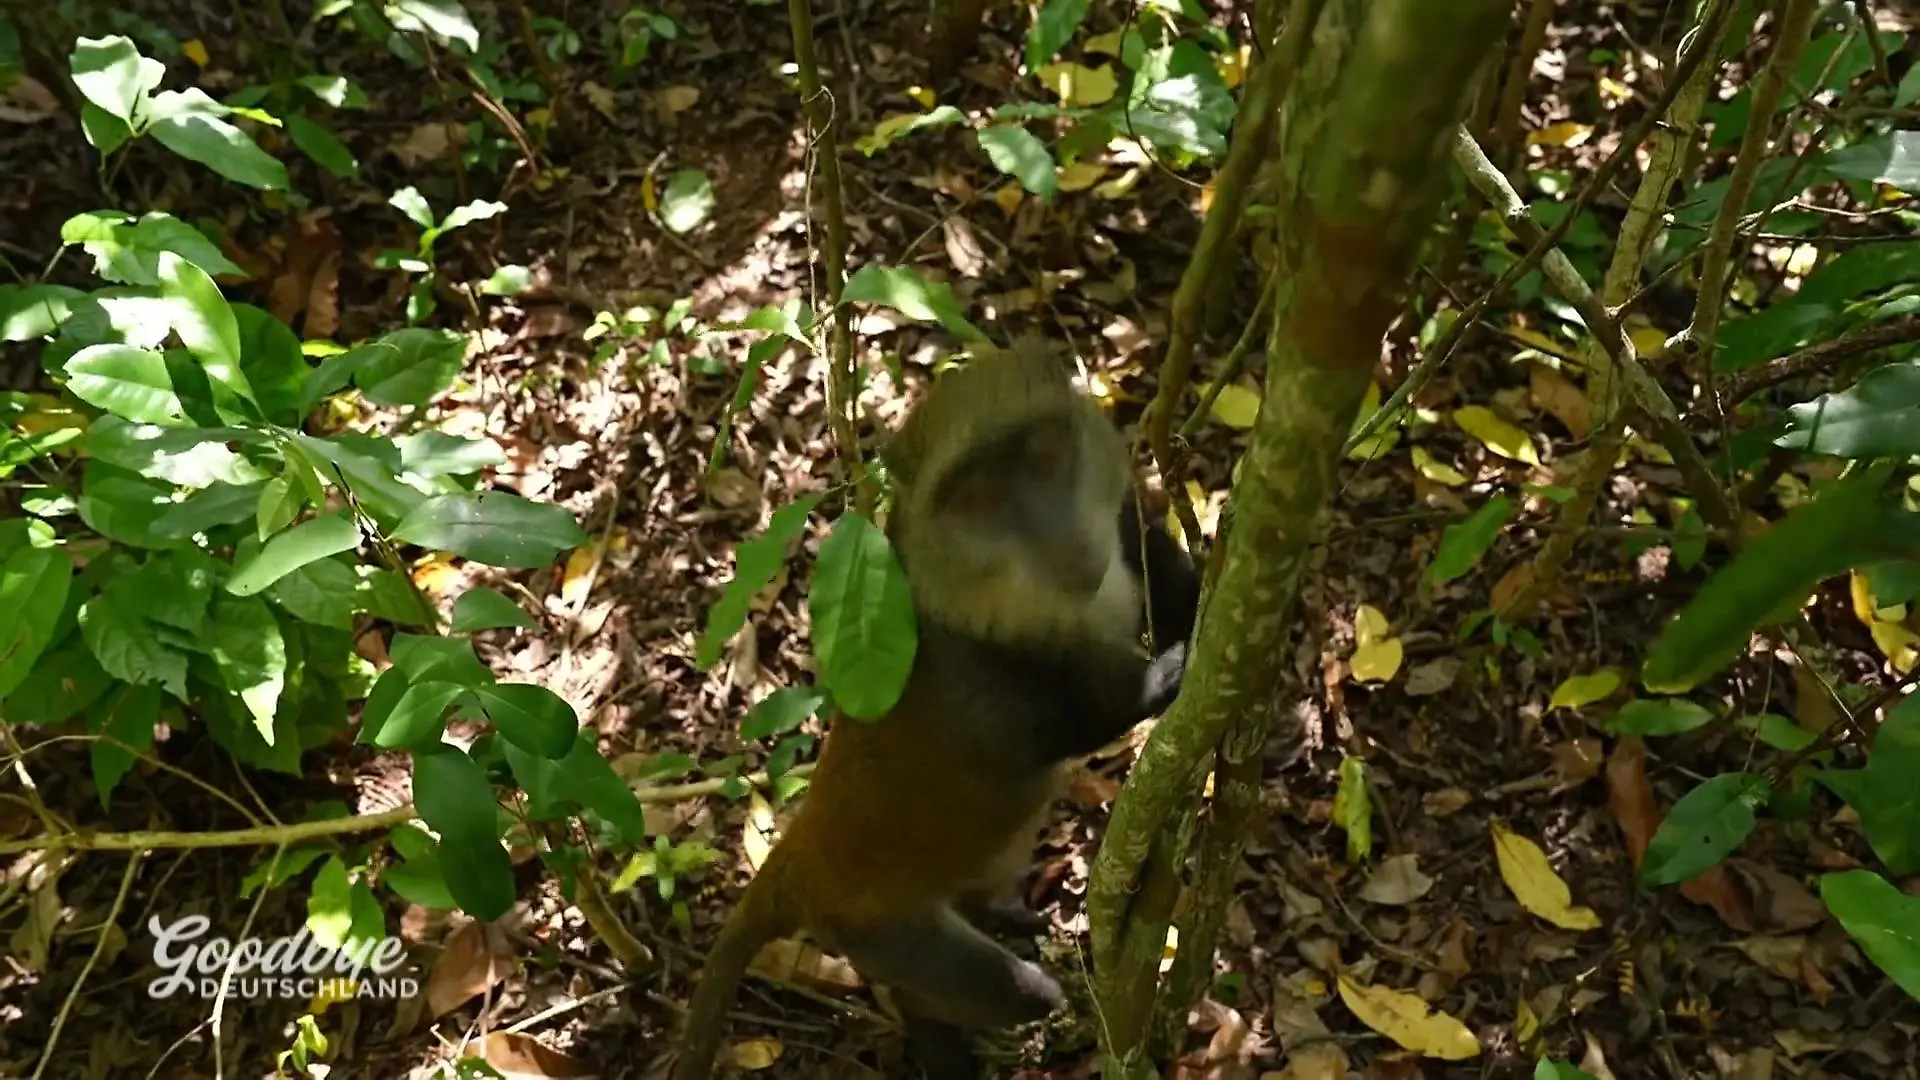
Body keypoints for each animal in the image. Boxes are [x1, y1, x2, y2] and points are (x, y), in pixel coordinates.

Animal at [670, 339, 1204, 1080]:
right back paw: (937, 1032)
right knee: (1001, 991)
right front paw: (1166, 676)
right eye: (979, 500)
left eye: (1045, 459)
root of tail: (802, 859)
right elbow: (1059, 728)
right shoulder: (970, 673)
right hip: (879, 931)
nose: (1060, 541)